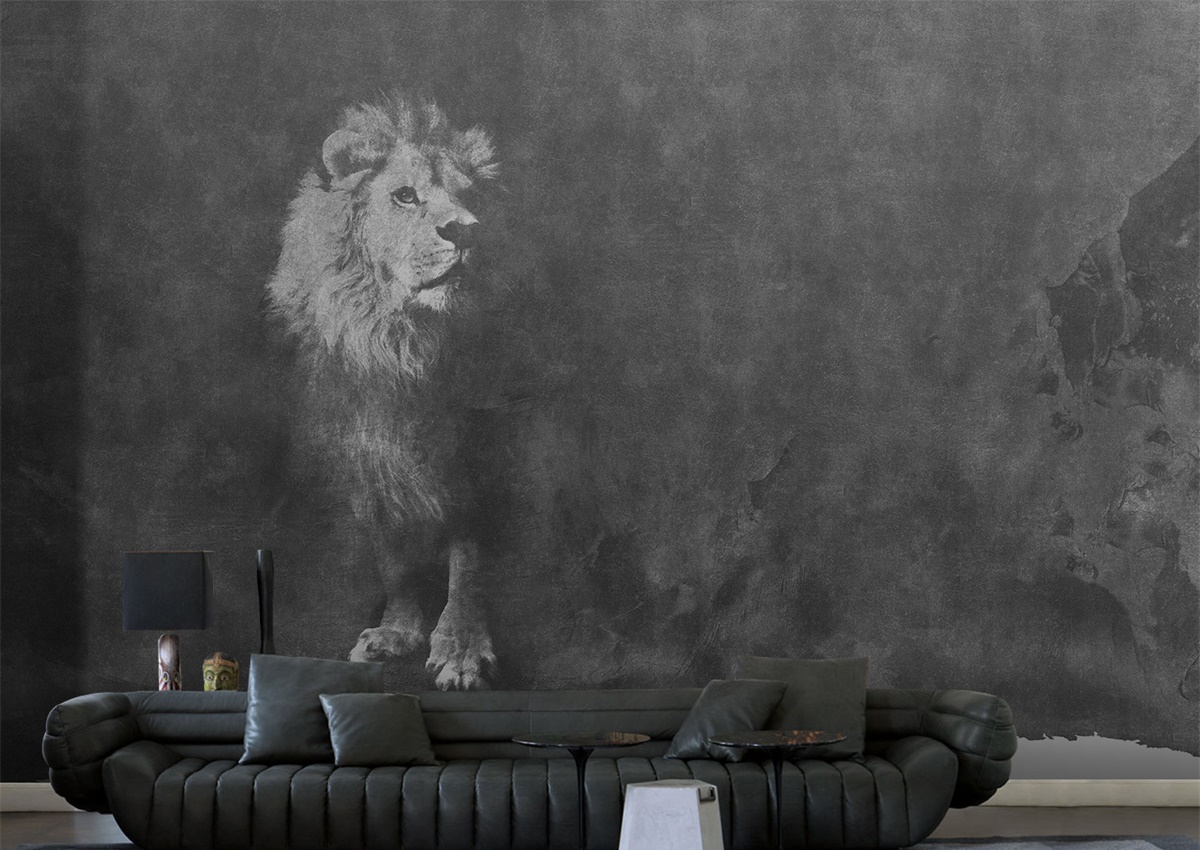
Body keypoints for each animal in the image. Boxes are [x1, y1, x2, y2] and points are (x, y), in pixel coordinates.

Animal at [266, 92, 500, 689]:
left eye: (469, 199)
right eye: (405, 195)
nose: (467, 231)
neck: (397, 342)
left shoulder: (472, 455)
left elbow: (469, 555)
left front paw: (460, 648)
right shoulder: (367, 454)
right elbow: (394, 556)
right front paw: (398, 631)